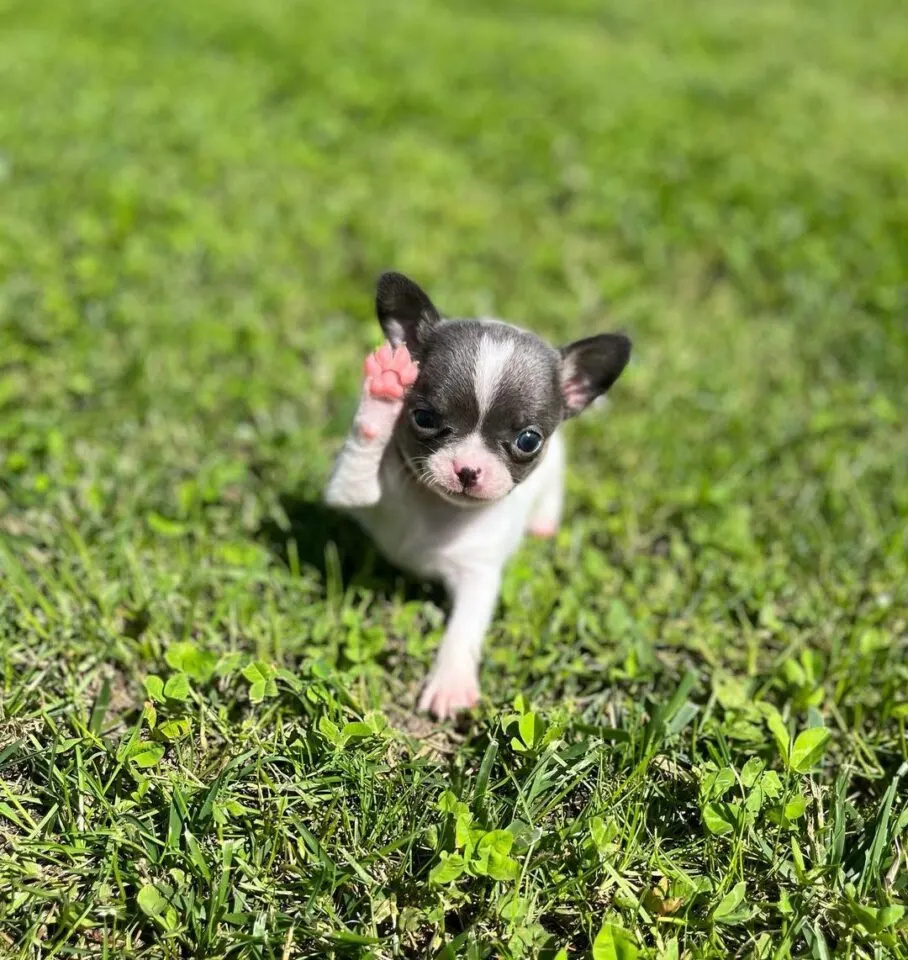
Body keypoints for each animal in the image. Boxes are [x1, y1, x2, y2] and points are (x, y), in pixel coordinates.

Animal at [326, 274, 632, 716]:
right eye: (423, 418)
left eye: (527, 440)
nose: (468, 469)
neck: (438, 510)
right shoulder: (349, 491)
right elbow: (361, 450)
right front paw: (382, 395)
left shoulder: (478, 579)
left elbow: (463, 630)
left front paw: (451, 682)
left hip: (556, 467)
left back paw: (544, 524)